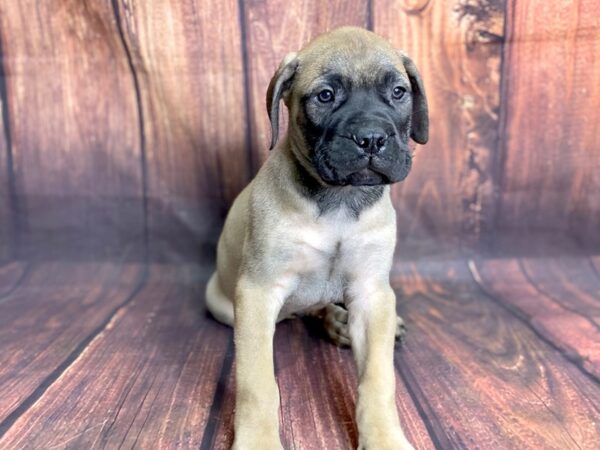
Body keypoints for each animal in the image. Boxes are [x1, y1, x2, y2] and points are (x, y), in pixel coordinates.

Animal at [205, 25, 426, 450]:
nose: (371, 138)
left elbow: (379, 380)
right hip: (223, 304)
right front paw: (258, 441)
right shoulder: (258, 292)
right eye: (325, 96)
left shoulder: (372, 293)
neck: (339, 201)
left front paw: (384, 437)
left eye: (397, 92)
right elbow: (258, 383)